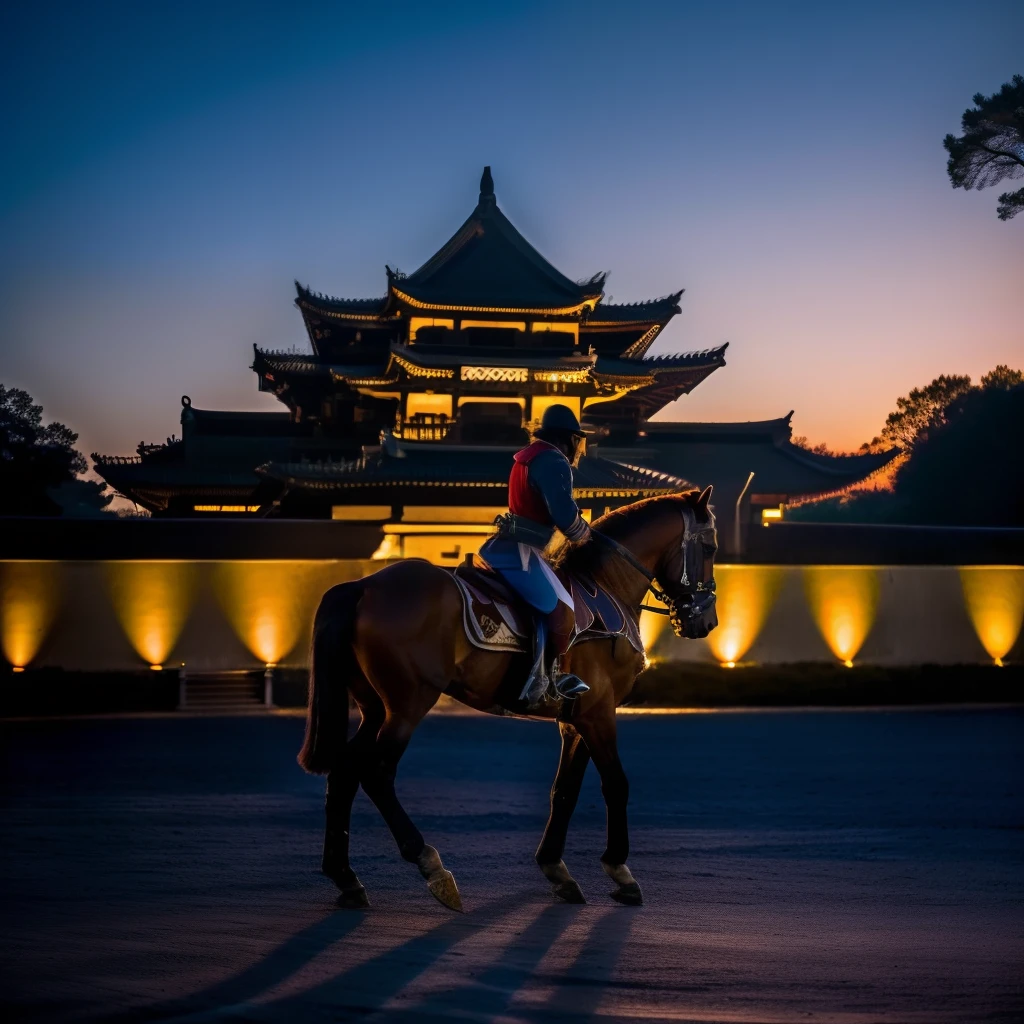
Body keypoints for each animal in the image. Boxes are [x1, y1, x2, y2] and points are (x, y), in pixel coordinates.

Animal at [299, 487, 720, 913]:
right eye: (711, 547)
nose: (706, 621)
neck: (608, 586)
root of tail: (362, 586)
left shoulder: (575, 720)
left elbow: (564, 791)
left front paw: (556, 869)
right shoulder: (599, 714)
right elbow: (616, 784)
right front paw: (620, 870)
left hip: (374, 709)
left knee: (344, 771)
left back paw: (346, 878)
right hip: (406, 706)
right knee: (377, 774)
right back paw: (431, 866)